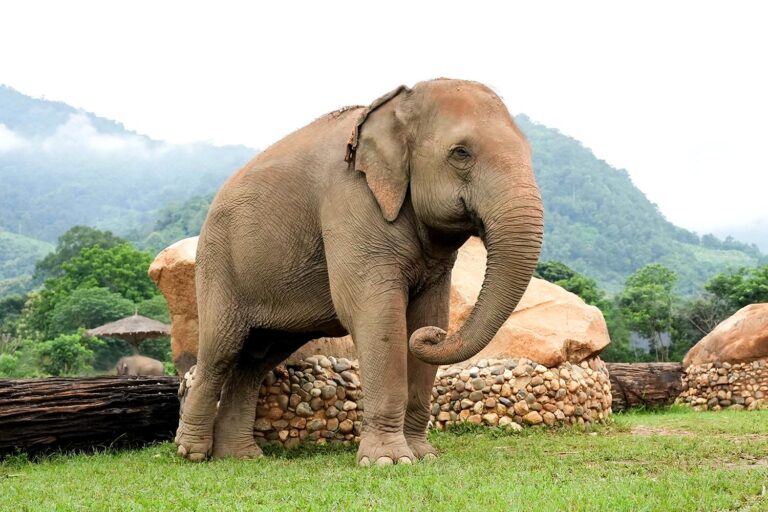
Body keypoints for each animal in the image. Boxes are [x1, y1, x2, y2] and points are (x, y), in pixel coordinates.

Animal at [175, 78, 544, 465]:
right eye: (461, 153)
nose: (434, 338)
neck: (396, 106)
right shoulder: (350, 198)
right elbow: (375, 314)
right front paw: (389, 461)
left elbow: (429, 312)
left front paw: (423, 455)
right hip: (218, 263)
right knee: (222, 348)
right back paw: (192, 452)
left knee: (256, 357)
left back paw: (241, 457)